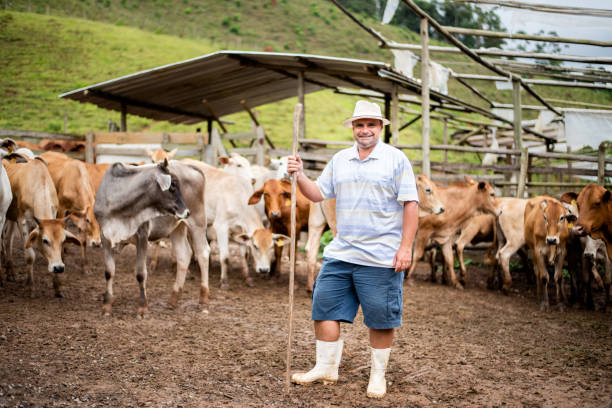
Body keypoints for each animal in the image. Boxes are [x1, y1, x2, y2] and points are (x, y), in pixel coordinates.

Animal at [95, 161, 194, 318]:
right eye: (172, 186)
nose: (187, 212)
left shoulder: (142, 236)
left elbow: (141, 274)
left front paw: (142, 307)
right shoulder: (105, 236)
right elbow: (109, 272)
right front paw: (107, 305)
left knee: (203, 254)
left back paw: (204, 299)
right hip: (178, 229)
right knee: (184, 255)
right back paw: (174, 298)